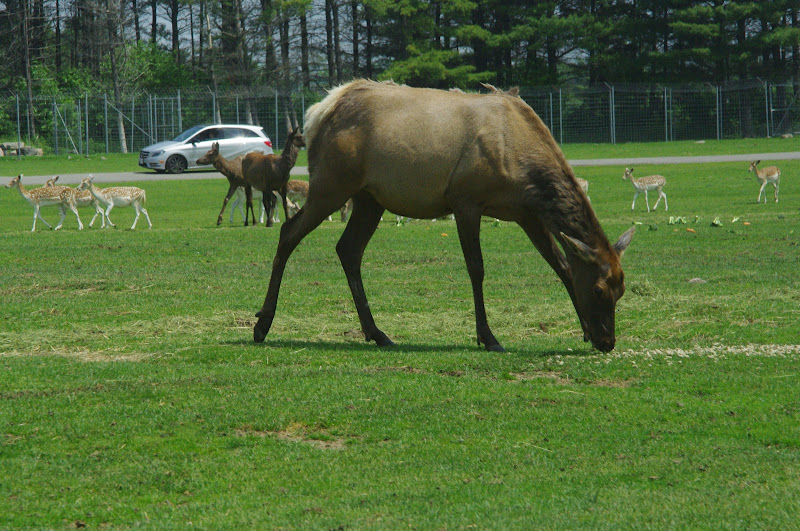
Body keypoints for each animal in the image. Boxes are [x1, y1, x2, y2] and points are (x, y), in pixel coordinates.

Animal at [252, 80, 634, 353]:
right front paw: (488, 337)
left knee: (348, 249)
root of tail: (319, 111)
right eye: (599, 290)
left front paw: (583, 330)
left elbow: (562, 265)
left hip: (369, 197)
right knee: (288, 232)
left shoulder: (527, 213)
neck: (524, 169)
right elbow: (476, 268)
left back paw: (377, 333)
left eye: (621, 290)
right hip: (332, 183)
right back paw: (262, 324)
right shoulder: (466, 200)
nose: (607, 341)